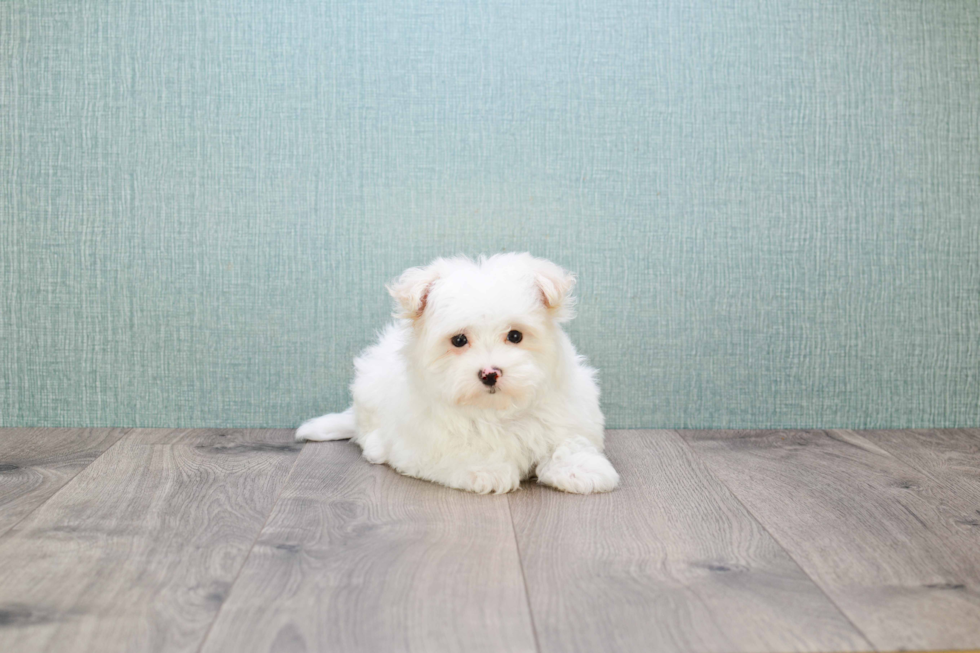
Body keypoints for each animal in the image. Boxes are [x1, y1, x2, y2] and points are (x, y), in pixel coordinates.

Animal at [298, 252, 620, 492]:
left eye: (515, 336)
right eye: (459, 340)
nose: (490, 373)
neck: (496, 409)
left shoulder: (566, 409)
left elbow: (569, 440)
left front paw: (580, 469)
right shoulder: (426, 439)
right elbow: (460, 450)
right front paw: (486, 469)